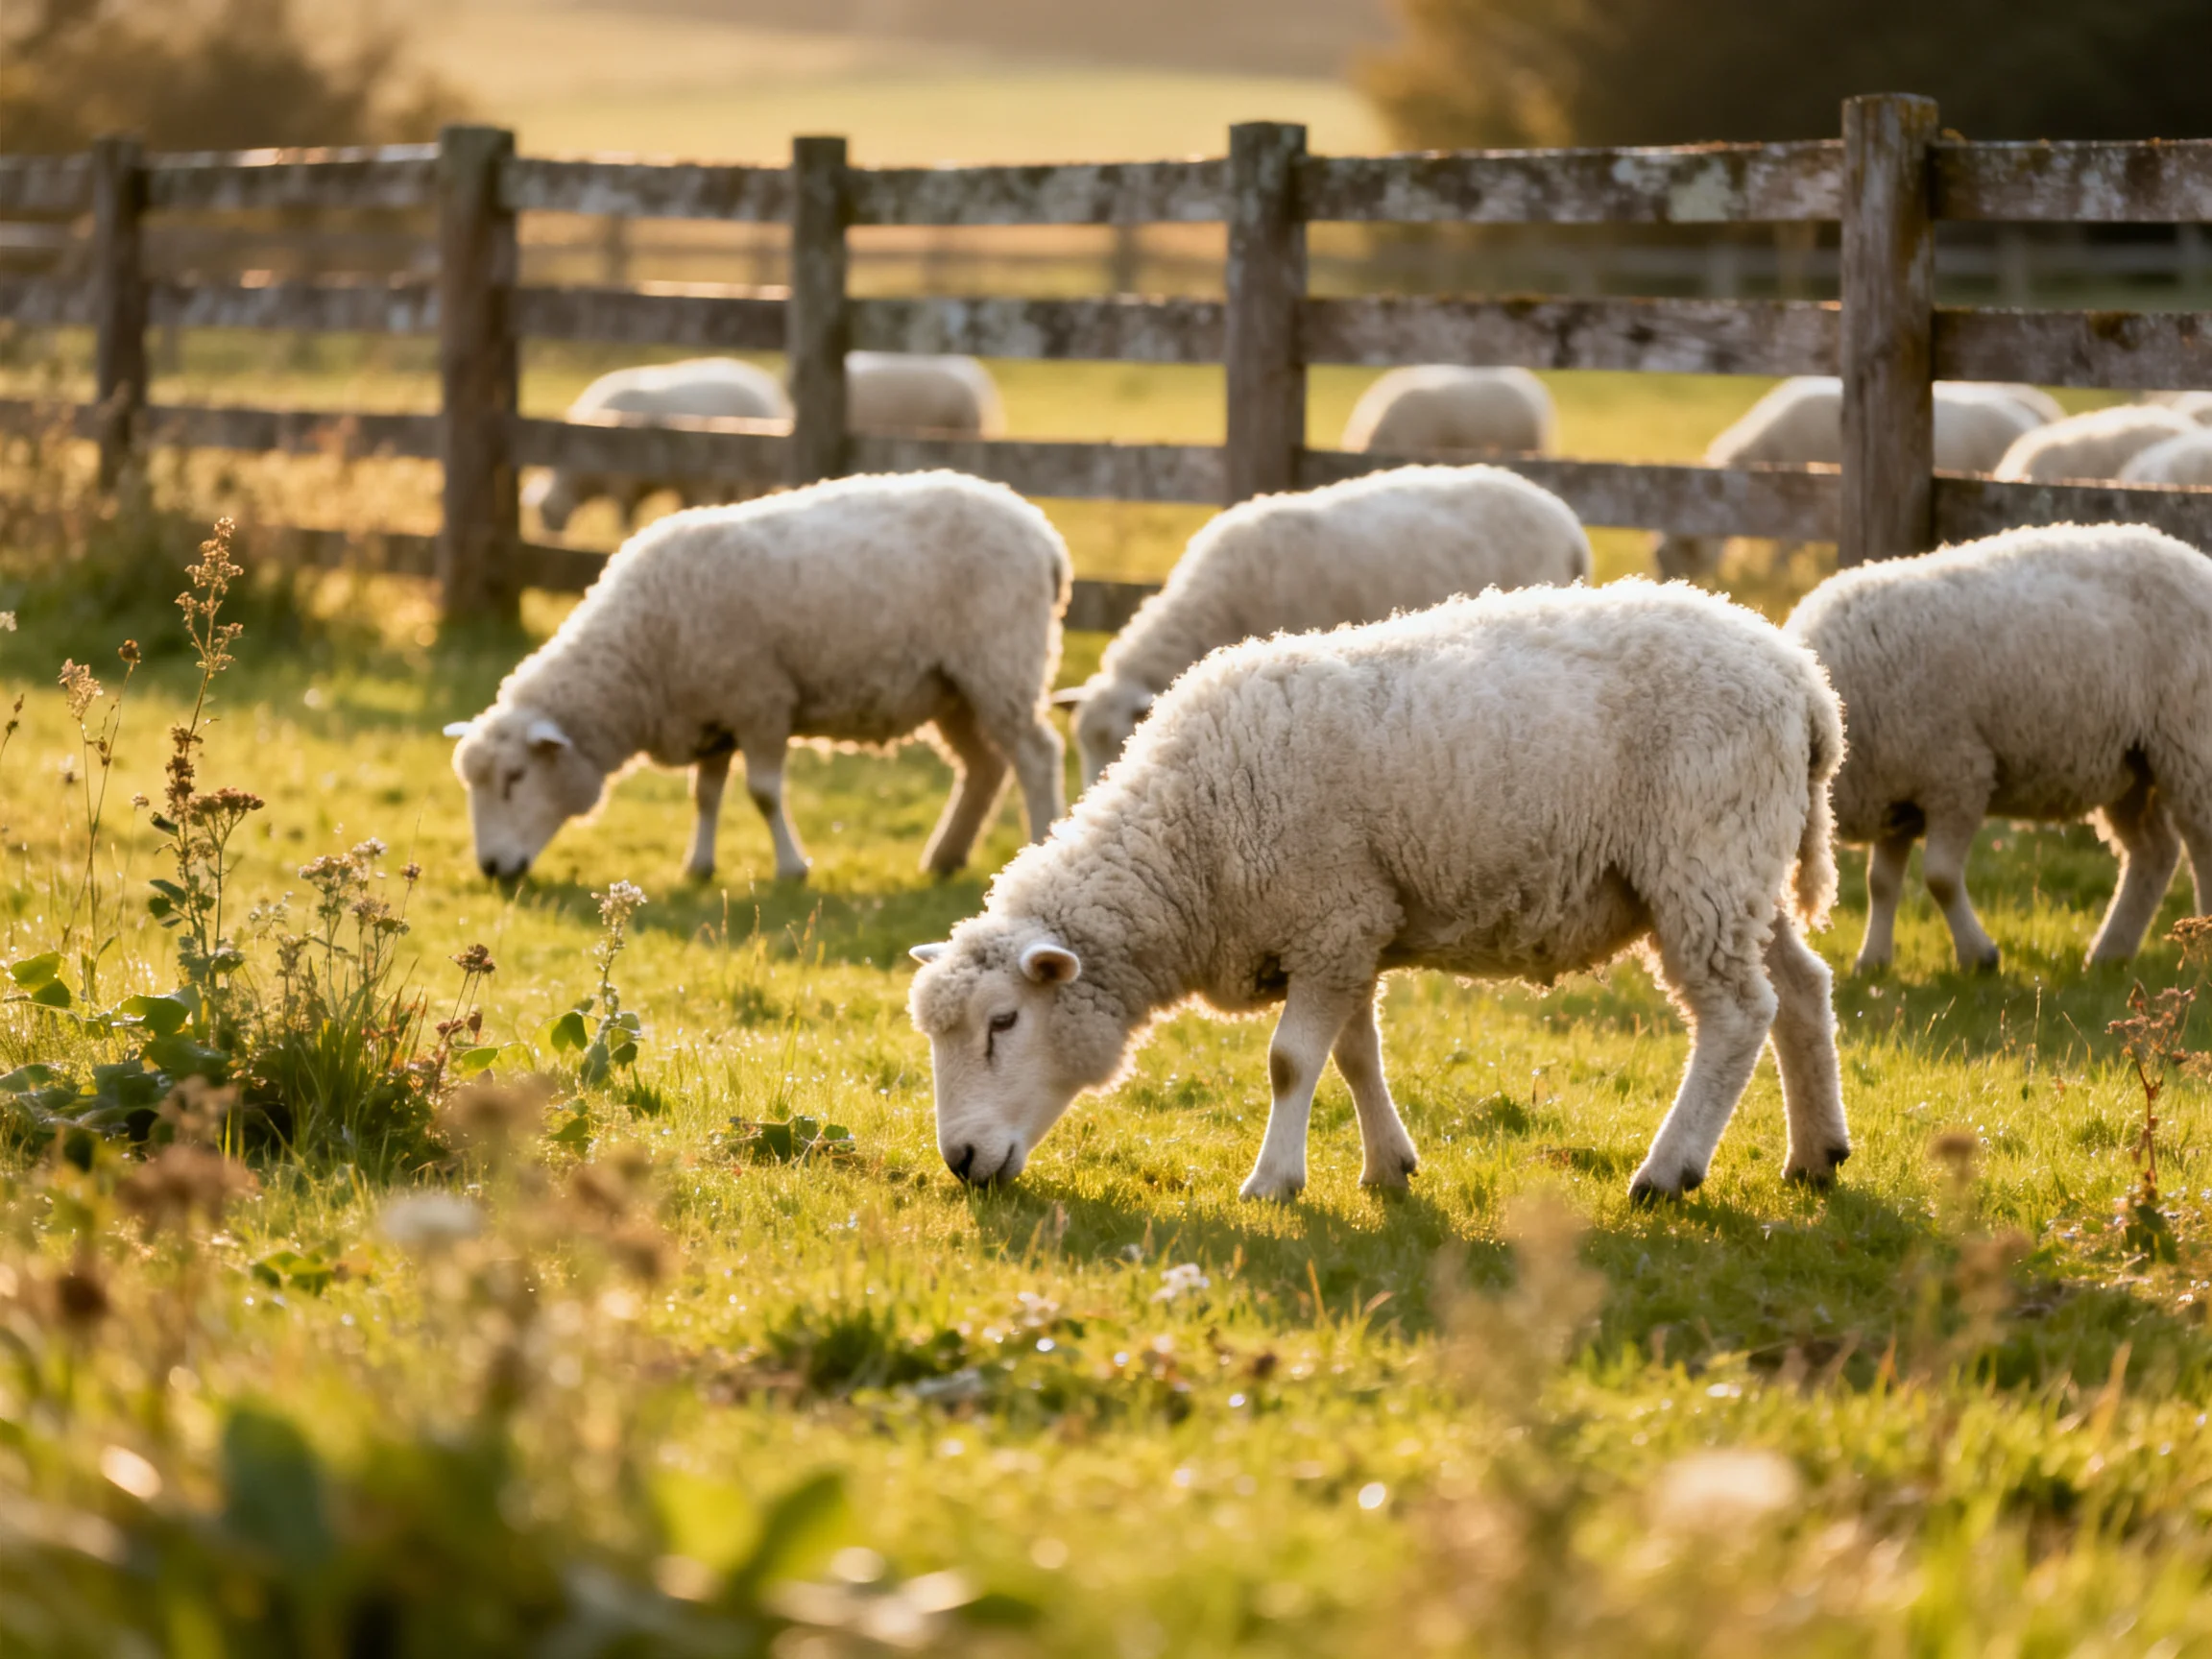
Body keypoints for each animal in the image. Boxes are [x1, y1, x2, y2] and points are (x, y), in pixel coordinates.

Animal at [448, 472, 1070, 885]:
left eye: (515, 778)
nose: (492, 868)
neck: (640, 650)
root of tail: (1040, 530)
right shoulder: (713, 714)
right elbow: (705, 796)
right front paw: (698, 866)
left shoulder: (760, 700)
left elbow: (764, 793)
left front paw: (792, 868)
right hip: (952, 688)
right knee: (985, 767)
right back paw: (944, 857)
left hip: (1000, 662)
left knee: (1037, 755)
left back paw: (1040, 842)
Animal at [525, 358, 790, 535]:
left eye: (543, 512)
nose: (550, 536)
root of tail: (766, 385)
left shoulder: (623, 480)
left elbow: (625, 513)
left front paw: (623, 531)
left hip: (758, 470)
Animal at [910, 580, 1849, 1204]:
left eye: (1003, 1023)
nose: (960, 1161)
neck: (1190, 840)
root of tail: (1802, 681)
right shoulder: (1349, 927)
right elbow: (1354, 1055)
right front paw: (1387, 1167)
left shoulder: (1328, 919)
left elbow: (1291, 1062)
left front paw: (1272, 1181)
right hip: (1742, 867)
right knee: (1802, 989)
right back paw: (1816, 1155)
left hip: (1702, 856)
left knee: (1736, 1015)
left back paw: (1667, 1172)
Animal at [1783, 523, 2212, 973]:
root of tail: (2194, 557)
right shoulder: (1898, 792)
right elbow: (1881, 883)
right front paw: (1873, 962)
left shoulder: (1957, 776)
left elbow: (1939, 877)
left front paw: (1979, 956)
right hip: (2130, 765)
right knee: (2153, 852)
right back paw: (2110, 952)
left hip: (2189, 740)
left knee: (2201, 841)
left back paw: (2200, 947)